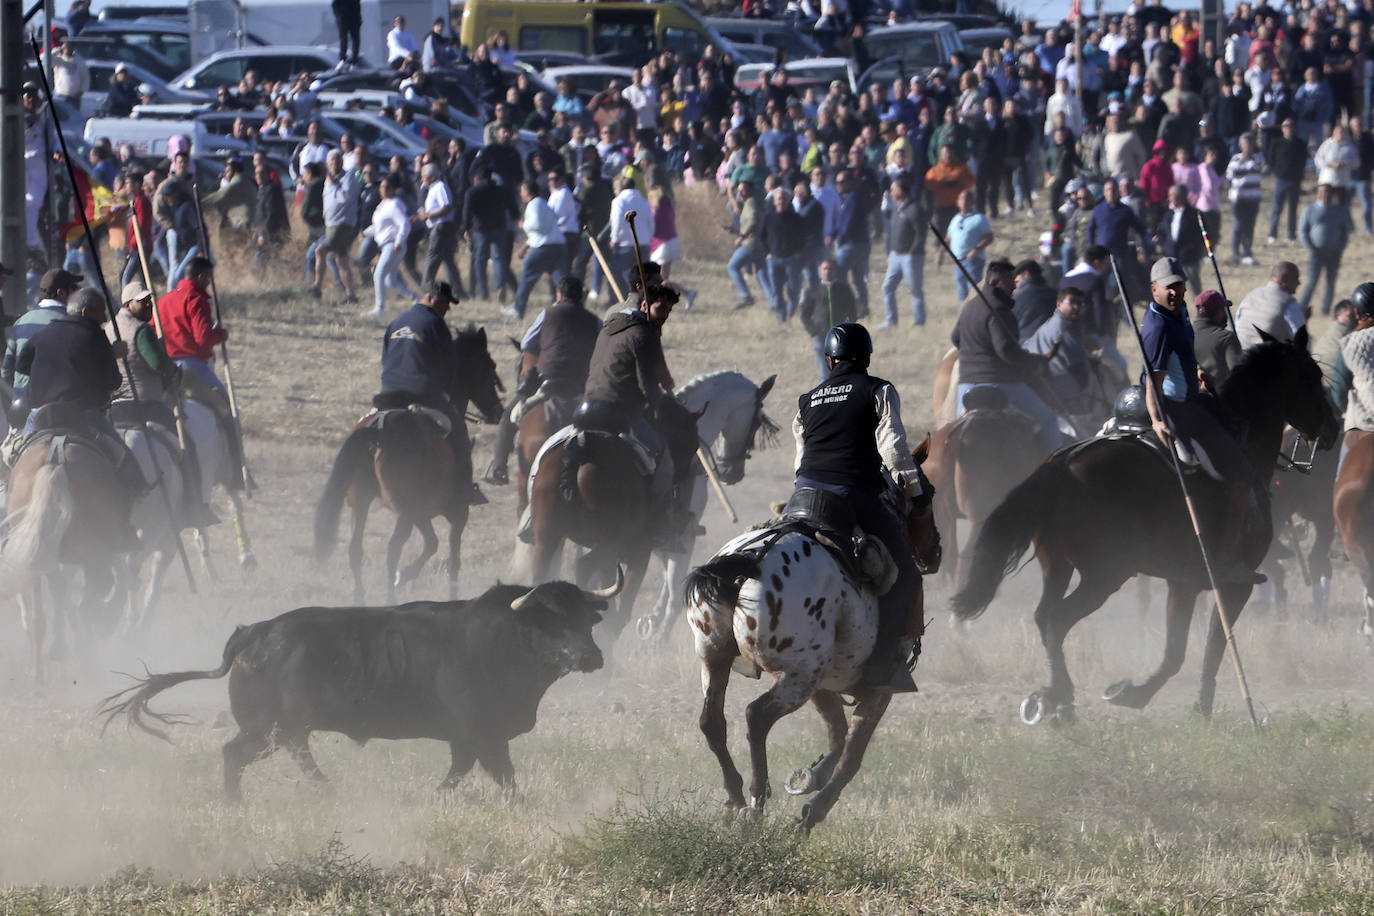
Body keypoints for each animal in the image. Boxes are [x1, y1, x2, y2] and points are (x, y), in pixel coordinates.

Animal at [3, 433, 133, 683]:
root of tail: (56, 462)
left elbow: (58, 593)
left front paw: (58, 648)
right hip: (94, 555)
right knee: (86, 606)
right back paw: (87, 664)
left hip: (37, 555)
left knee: (38, 617)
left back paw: (39, 674)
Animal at [101, 579, 623, 802]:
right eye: (550, 618)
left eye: (586, 617)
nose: (591, 658)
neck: (503, 638)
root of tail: (255, 632)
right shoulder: (482, 732)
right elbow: (501, 774)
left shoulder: (468, 737)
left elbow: (462, 770)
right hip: (265, 727)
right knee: (237, 753)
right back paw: (241, 803)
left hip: (282, 728)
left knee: (291, 752)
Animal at [313, 325, 505, 604]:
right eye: (489, 366)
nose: (498, 411)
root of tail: (379, 427)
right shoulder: (456, 514)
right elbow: (452, 560)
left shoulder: (420, 513)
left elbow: (432, 544)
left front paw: (404, 575)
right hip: (404, 509)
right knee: (393, 548)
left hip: (362, 501)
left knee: (355, 549)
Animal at [632, 370, 774, 645]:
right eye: (755, 421)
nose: (732, 472)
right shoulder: (684, 533)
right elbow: (674, 589)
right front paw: (659, 635)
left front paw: (653, 622)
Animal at [950, 329, 1335, 725]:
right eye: (1313, 376)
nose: (1334, 428)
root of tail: (1062, 464)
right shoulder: (1232, 585)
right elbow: (1212, 645)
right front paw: (1187, 703)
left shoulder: (1183, 583)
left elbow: (1176, 649)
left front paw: (1141, 694)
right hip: (1104, 575)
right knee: (1057, 619)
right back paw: (1062, 698)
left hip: (1058, 566)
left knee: (1044, 618)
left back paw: (1055, 698)